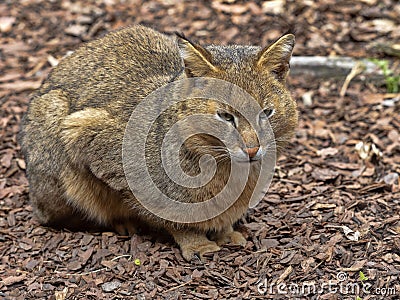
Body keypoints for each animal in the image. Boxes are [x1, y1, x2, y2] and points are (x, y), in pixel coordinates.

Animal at [21, 25, 296, 260]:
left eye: (266, 113)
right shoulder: (85, 133)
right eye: (226, 116)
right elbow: (172, 216)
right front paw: (197, 243)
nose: (252, 149)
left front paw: (225, 232)